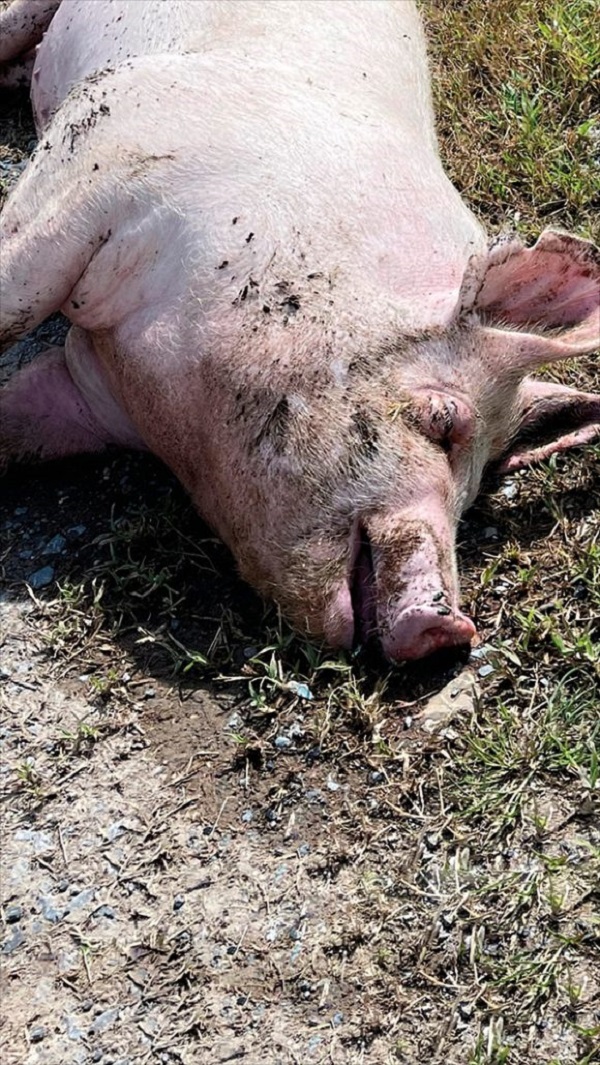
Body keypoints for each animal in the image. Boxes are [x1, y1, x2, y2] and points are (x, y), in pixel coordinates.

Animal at [0, 0, 598, 662]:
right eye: (443, 421)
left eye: (482, 480)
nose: (446, 629)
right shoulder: (100, 159)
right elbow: (16, 300)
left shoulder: (91, 389)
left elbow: (18, 425)